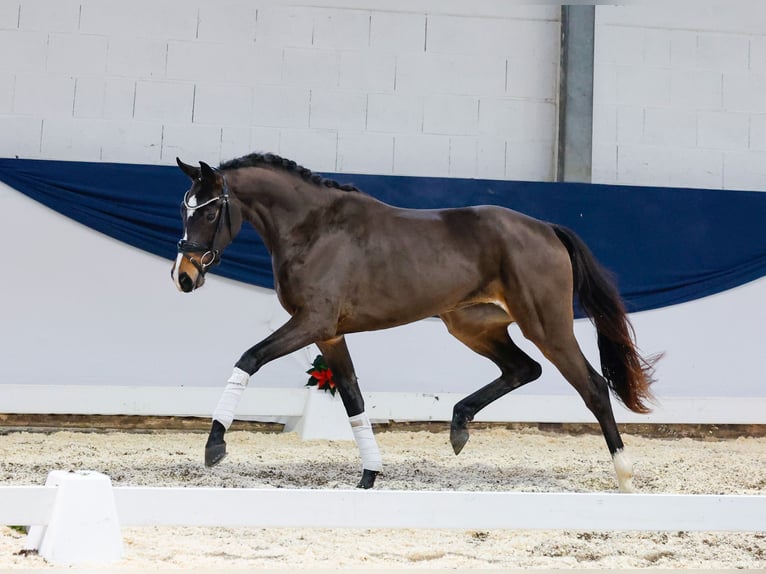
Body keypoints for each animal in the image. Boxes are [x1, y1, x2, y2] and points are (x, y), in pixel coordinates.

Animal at [170, 154, 660, 496]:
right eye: (183, 210)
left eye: (209, 213)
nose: (184, 276)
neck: (314, 228)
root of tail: (546, 228)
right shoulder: (330, 333)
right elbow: (353, 398)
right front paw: (369, 476)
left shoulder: (311, 322)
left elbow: (249, 358)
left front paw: (215, 446)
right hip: (471, 326)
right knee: (523, 369)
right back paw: (459, 426)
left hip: (547, 326)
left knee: (593, 387)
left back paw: (625, 478)